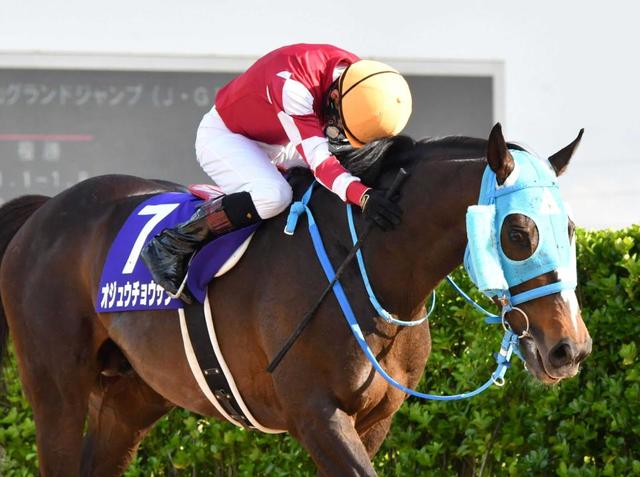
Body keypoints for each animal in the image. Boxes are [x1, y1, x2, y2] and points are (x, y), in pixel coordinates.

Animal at [0, 123, 592, 476]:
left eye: (568, 228)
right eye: (518, 232)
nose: (570, 349)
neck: (373, 267)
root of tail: (44, 210)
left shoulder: (374, 420)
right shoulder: (316, 413)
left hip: (132, 397)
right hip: (57, 388)